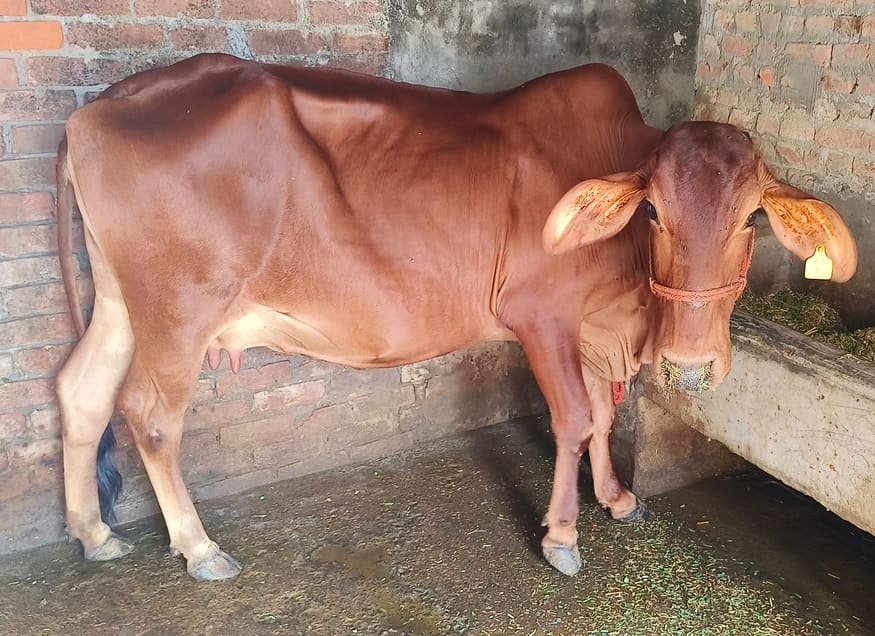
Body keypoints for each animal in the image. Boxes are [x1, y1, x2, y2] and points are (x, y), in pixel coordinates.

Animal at [55, 53, 857, 581]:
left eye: (751, 216)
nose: (689, 367)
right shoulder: (542, 318)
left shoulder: (593, 330)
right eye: (655, 211)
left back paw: (94, 533)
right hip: (178, 310)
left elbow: (604, 415)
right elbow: (573, 419)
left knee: (81, 392)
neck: (627, 313)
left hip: (122, 305)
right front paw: (561, 535)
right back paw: (199, 548)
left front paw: (616, 497)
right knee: (150, 415)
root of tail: (98, 106)